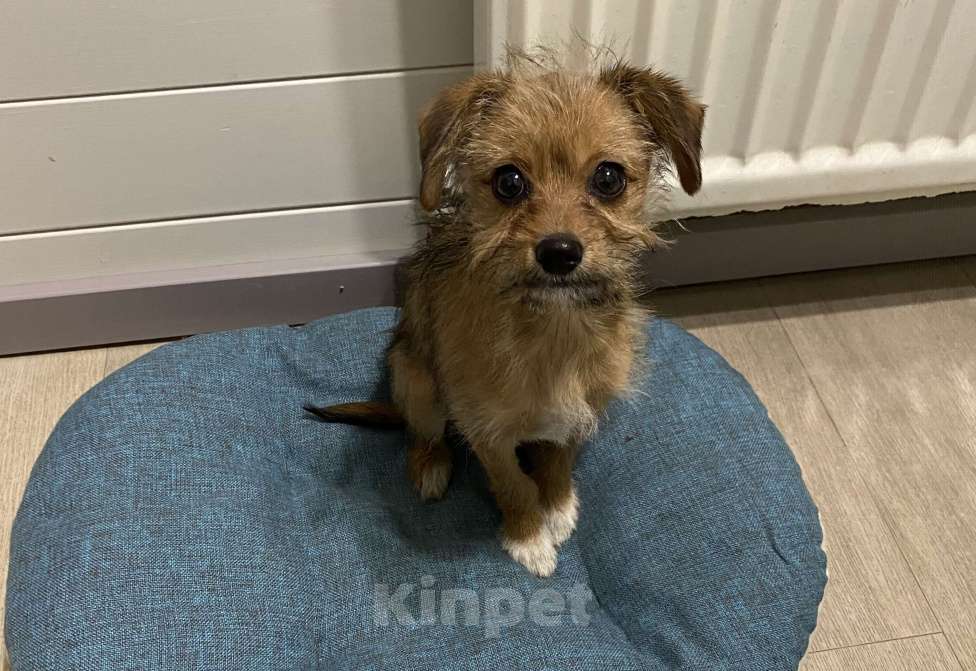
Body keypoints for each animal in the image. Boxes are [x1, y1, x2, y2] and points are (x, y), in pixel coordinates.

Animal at [307, 53, 704, 576]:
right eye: (509, 182)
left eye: (609, 178)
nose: (560, 253)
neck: (552, 327)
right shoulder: (485, 430)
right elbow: (512, 483)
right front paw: (528, 536)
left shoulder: (583, 408)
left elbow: (559, 459)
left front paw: (557, 504)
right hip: (416, 381)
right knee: (420, 432)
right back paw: (431, 465)